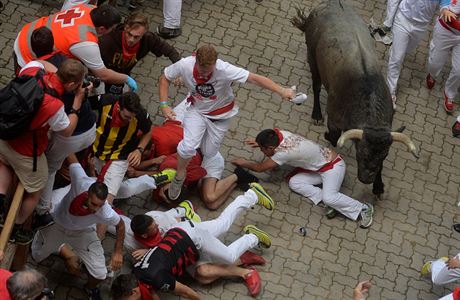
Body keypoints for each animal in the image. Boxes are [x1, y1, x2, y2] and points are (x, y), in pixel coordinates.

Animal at [292, 0, 418, 196]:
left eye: (384, 155)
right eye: (362, 152)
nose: (366, 179)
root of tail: (331, 4)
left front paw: (378, 185)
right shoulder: (334, 118)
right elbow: (335, 136)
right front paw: (327, 134)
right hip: (312, 57)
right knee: (316, 86)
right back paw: (317, 114)